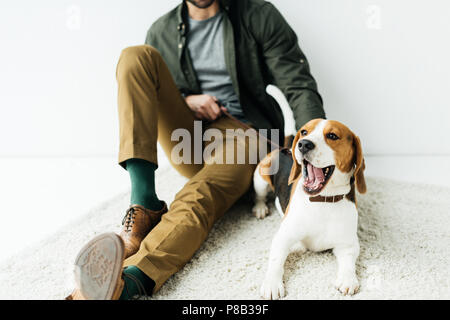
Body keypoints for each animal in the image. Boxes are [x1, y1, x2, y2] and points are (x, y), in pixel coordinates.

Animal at [253, 118, 366, 300]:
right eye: (304, 132)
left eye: (332, 136)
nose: (303, 144)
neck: (322, 200)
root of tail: (282, 149)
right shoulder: (283, 237)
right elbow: (276, 260)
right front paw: (272, 283)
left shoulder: (348, 244)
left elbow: (348, 262)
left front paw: (348, 279)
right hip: (260, 179)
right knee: (259, 195)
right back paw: (260, 208)